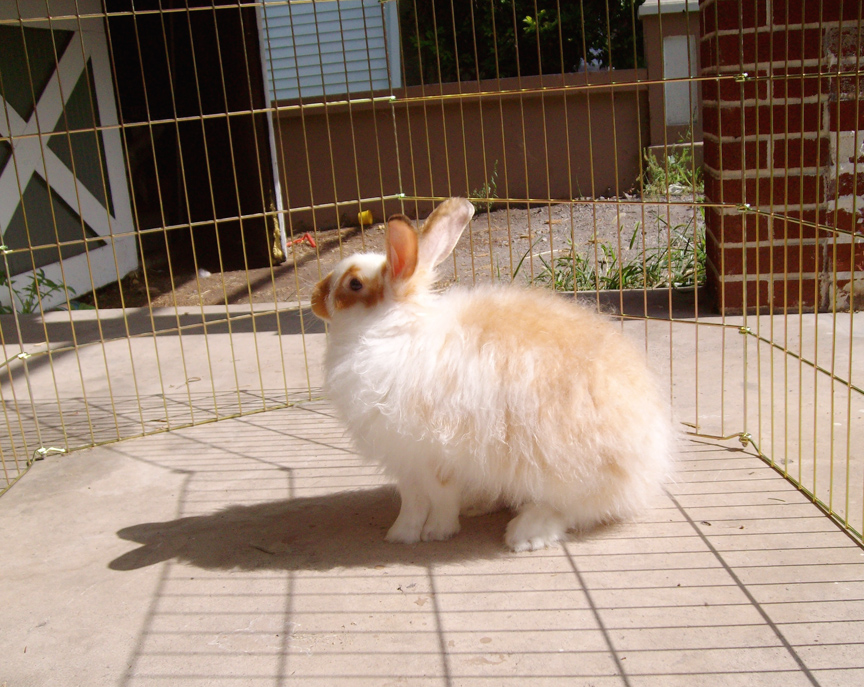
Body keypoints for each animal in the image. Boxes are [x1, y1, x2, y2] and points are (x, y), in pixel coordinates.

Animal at [311, 197, 674, 551]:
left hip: (566, 472)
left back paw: (525, 534)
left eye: (354, 284)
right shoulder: (408, 463)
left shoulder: (432, 457)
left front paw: (431, 533)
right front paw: (403, 534)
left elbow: (436, 499)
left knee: (572, 508)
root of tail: (651, 460)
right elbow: (413, 501)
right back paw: (479, 504)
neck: (392, 329)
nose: (315, 297)